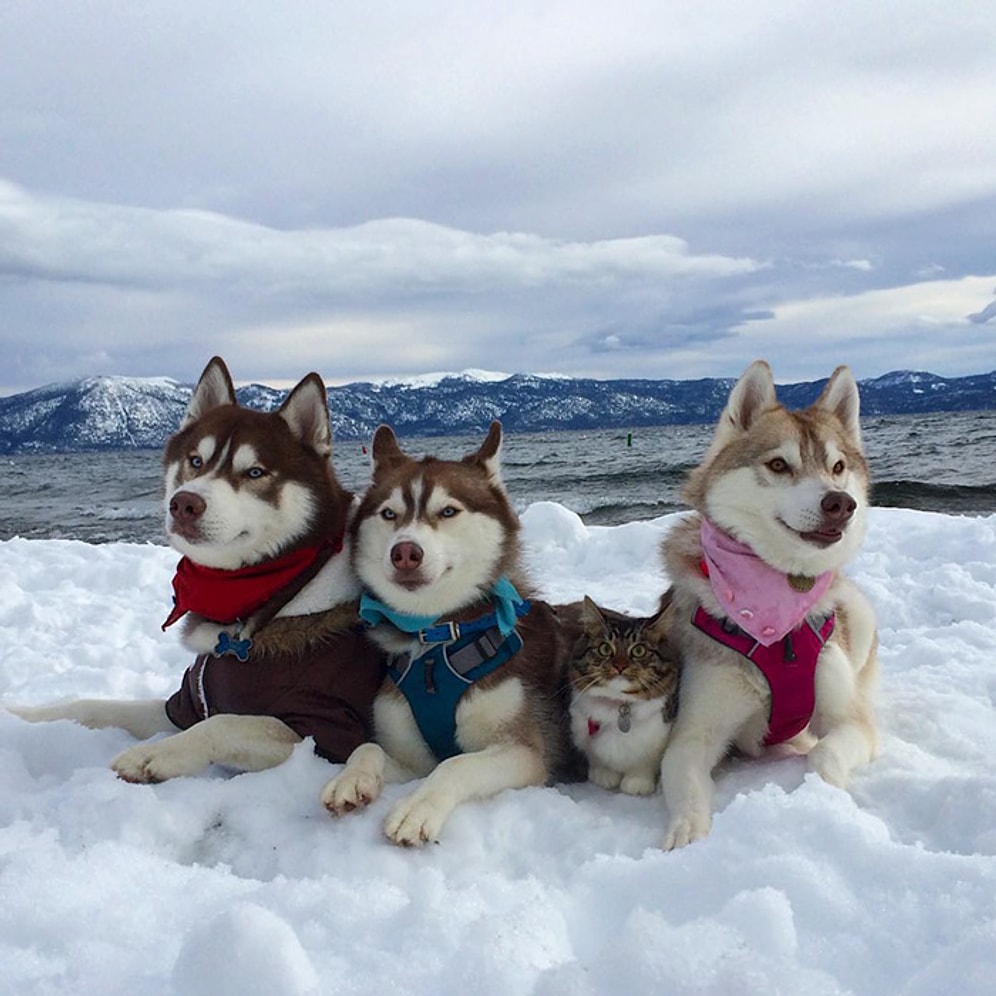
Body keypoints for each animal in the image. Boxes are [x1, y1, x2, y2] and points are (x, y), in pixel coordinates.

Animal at [11, 354, 386, 784]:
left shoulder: (326, 731)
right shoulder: (184, 704)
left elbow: (225, 723)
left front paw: (153, 754)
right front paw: (24, 714)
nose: (184, 504)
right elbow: (93, 706)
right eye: (195, 461)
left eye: (254, 472)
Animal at [320, 424, 576, 844]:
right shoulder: (412, 758)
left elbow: (457, 765)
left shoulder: (525, 750)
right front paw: (351, 779)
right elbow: (369, 748)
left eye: (448, 511)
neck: (437, 640)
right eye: (389, 514)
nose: (405, 552)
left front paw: (416, 809)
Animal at [564, 596, 680, 796]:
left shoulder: (657, 738)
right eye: (604, 648)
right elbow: (599, 761)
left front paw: (637, 784)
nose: (619, 665)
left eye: (639, 650)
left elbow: (644, 764)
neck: (617, 706)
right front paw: (604, 776)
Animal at [660, 362, 880, 852]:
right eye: (779, 465)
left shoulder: (851, 721)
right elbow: (684, 780)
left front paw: (825, 795)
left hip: (859, 614)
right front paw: (686, 832)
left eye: (838, 467)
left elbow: (826, 753)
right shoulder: (693, 732)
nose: (841, 503)